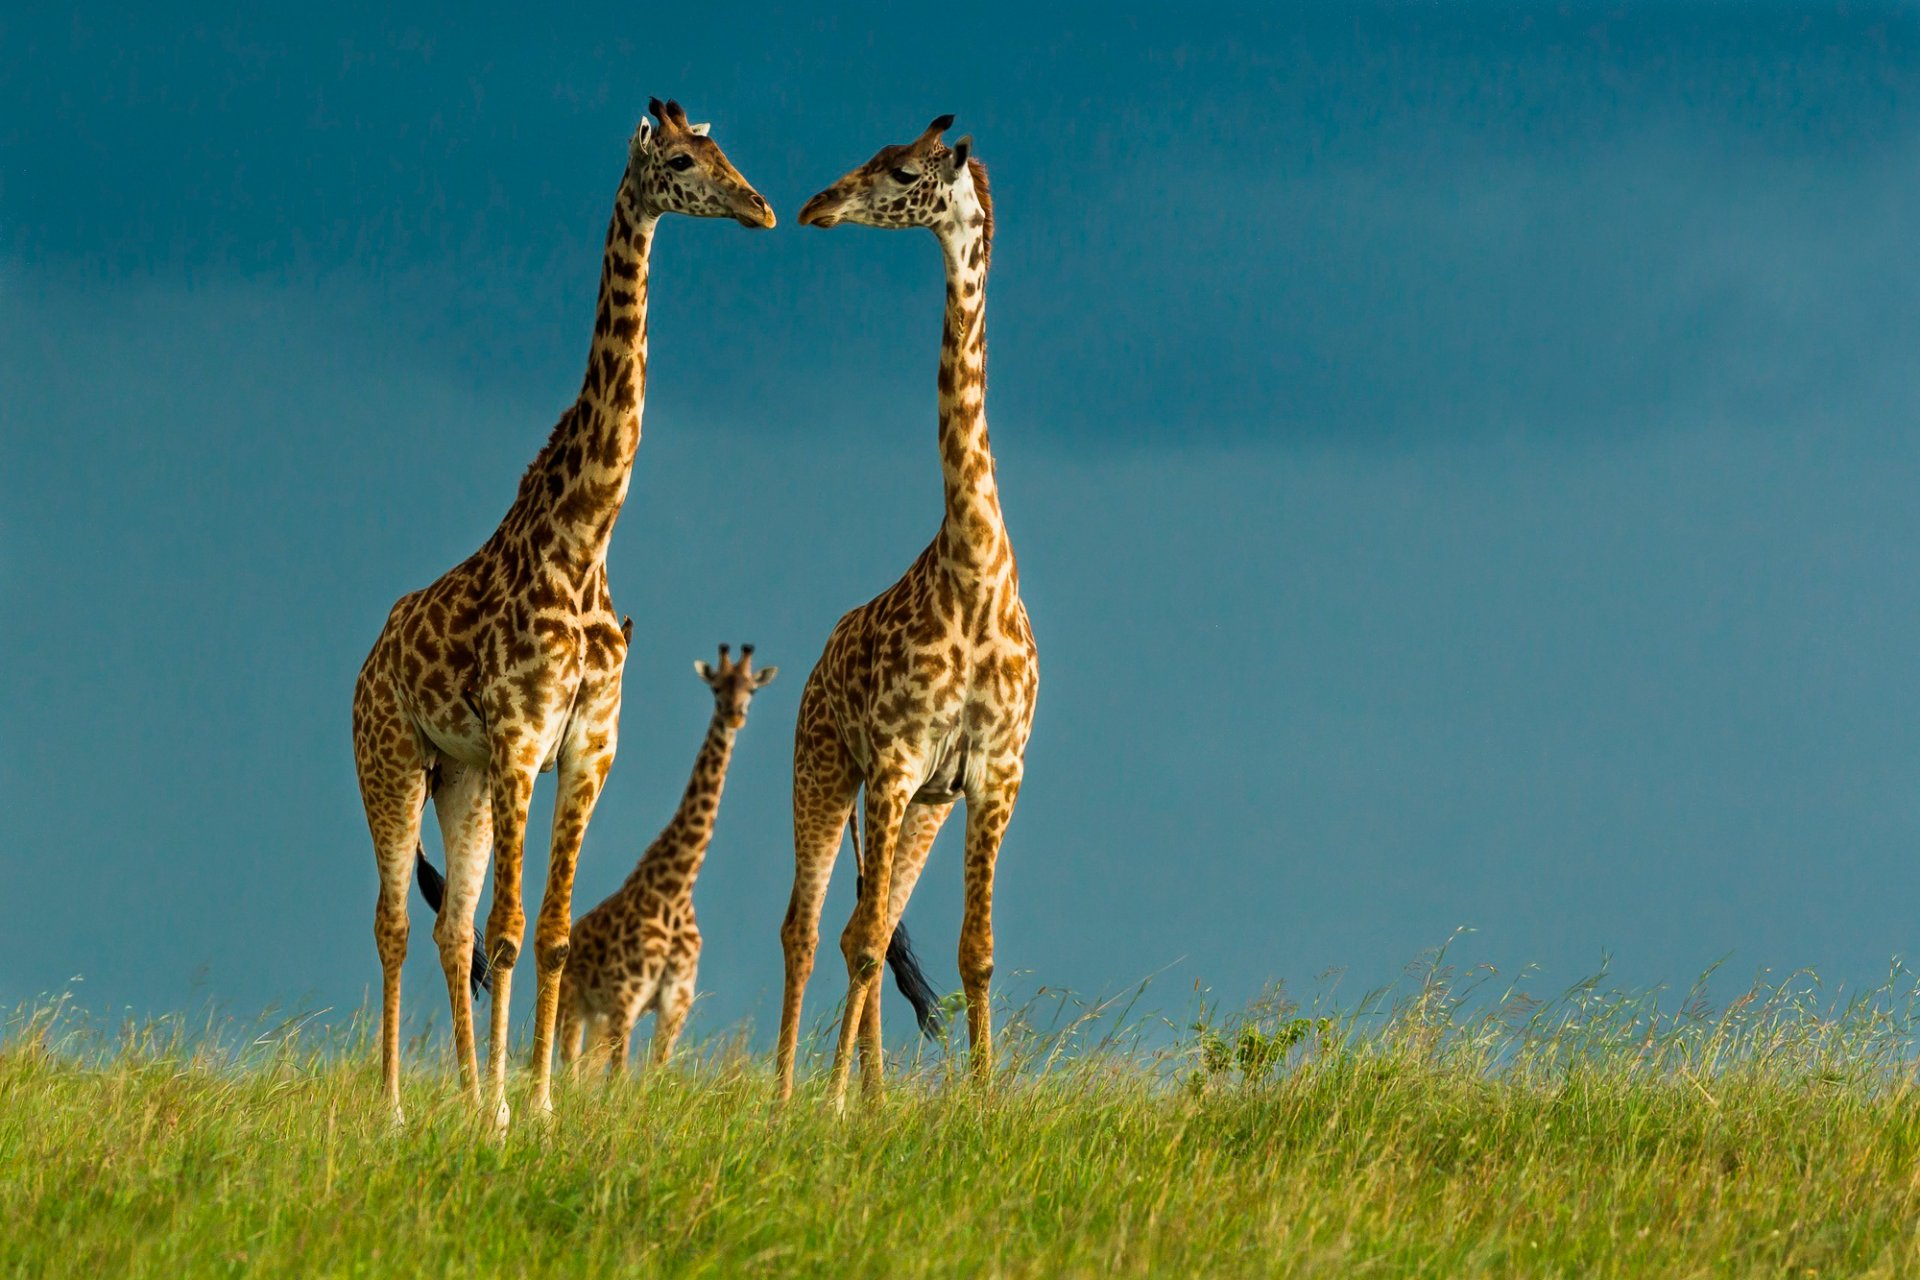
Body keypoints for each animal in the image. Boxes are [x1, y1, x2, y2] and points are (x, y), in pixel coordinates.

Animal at [554, 644, 776, 1075]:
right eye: (717, 688)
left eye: (752, 690)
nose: (735, 715)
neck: (675, 889)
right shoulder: (627, 996)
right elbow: (621, 1076)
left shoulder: (675, 1003)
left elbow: (656, 1071)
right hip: (574, 1002)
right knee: (571, 1065)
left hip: (598, 1015)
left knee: (585, 1070)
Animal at [778, 116, 1039, 1107]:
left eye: (899, 170)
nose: (816, 205)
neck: (975, 571)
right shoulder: (888, 763)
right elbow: (856, 946)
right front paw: (838, 1104)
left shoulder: (993, 774)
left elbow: (977, 951)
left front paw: (985, 1100)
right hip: (823, 769)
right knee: (814, 928)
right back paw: (798, 1095)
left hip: (923, 801)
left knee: (874, 923)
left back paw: (869, 1094)